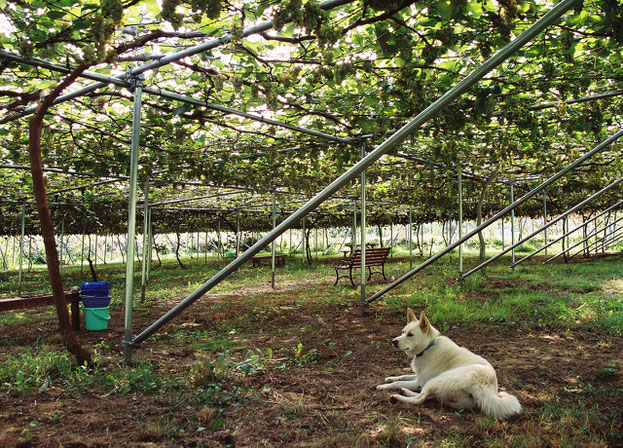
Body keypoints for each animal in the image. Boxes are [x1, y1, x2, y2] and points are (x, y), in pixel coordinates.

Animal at [378, 308, 524, 420]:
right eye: (403, 332)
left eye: (410, 334)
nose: (393, 341)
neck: (429, 347)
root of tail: (482, 385)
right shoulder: (418, 377)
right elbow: (402, 377)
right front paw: (390, 378)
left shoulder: (419, 382)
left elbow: (399, 383)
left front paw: (384, 386)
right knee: (429, 396)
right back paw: (405, 391)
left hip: (437, 380)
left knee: (420, 399)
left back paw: (398, 396)